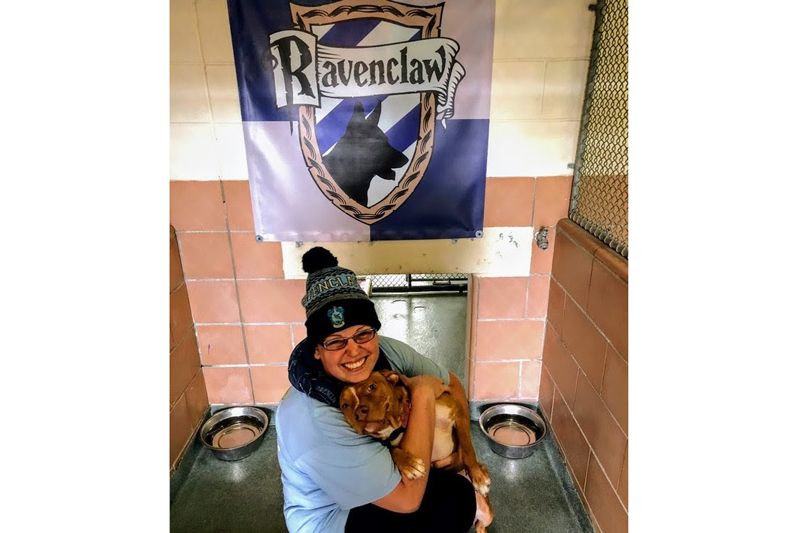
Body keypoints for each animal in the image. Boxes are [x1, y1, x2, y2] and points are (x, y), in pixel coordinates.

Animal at [340, 370, 490, 528]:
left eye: (372, 386)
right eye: (345, 405)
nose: (358, 413)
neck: (397, 427)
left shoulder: (457, 412)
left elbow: (467, 448)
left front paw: (478, 475)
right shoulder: (390, 442)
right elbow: (393, 450)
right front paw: (409, 464)